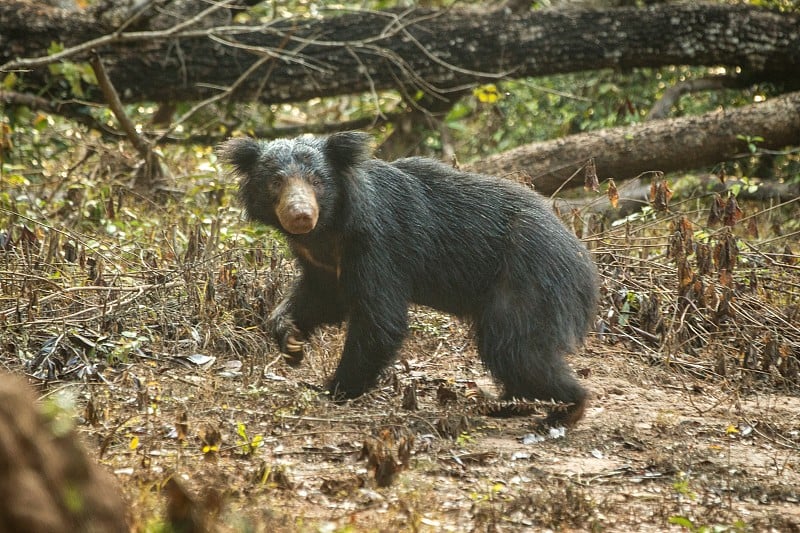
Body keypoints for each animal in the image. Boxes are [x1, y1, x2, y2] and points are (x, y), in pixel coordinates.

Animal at [217, 133, 592, 428]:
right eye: (276, 182)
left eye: (317, 182)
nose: (300, 215)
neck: (328, 231)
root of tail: (580, 256)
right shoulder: (322, 263)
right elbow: (322, 297)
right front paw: (291, 340)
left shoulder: (378, 245)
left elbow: (380, 320)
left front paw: (334, 388)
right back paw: (509, 404)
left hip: (526, 278)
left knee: (516, 347)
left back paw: (567, 407)